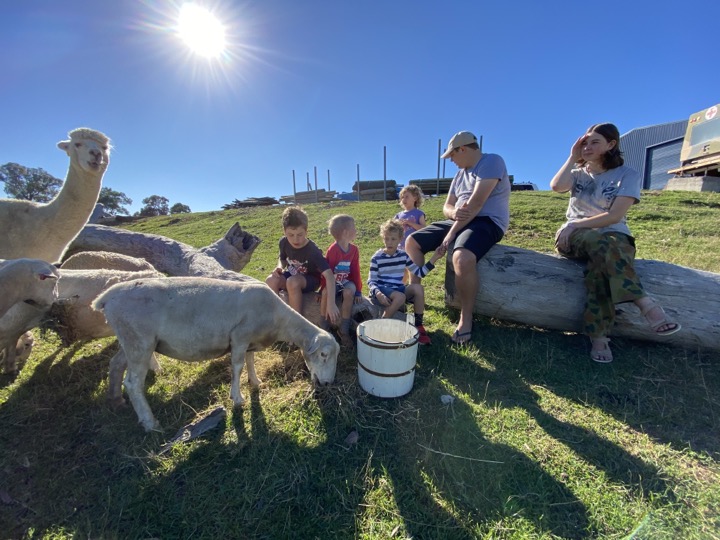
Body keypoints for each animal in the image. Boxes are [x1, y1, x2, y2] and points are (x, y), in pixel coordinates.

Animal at [92, 277, 340, 431]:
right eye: (323, 355)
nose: (327, 383)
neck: (278, 320)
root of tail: (108, 297)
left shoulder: (249, 341)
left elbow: (250, 361)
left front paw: (255, 382)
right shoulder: (239, 336)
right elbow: (238, 366)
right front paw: (237, 398)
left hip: (129, 340)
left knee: (115, 365)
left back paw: (116, 400)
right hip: (139, 341)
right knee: (133, 383)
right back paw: (150, 422)